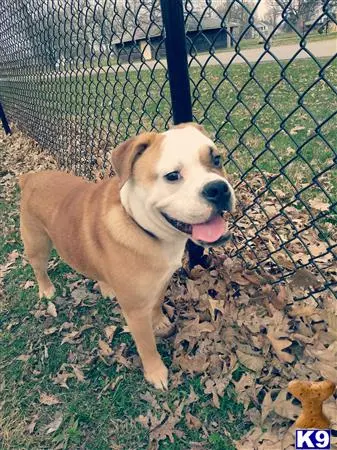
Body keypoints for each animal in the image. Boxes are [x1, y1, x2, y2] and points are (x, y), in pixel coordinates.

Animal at [18, 121, 234, 388]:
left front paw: (159, 321)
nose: (218, 188)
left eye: (217, 159)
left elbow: (157, 304)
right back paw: (47, 289)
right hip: (37, 244)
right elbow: (147, 345)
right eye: (172, 176)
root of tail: (30, 177)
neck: (141, 225)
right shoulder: (136, 312)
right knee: (39, 268)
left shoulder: (160, 281)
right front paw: (155, 372)